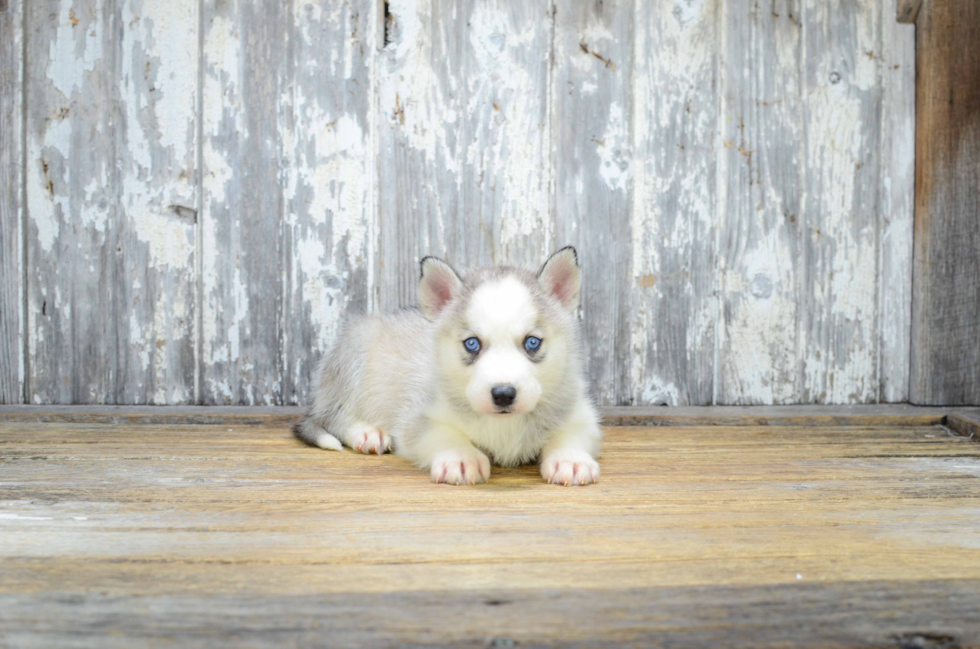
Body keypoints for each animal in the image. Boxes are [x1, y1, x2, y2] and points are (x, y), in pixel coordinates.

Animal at [290, 246, 600, 484]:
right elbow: (443, 433)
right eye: (472, 343)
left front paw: (570, 459)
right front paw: (461, 458)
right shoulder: (417, 419)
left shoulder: (580, 413)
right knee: (334, 417)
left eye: (532, 342)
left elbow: (570, 433)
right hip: (354, 354)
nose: (503, 394)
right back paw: (367, 433)